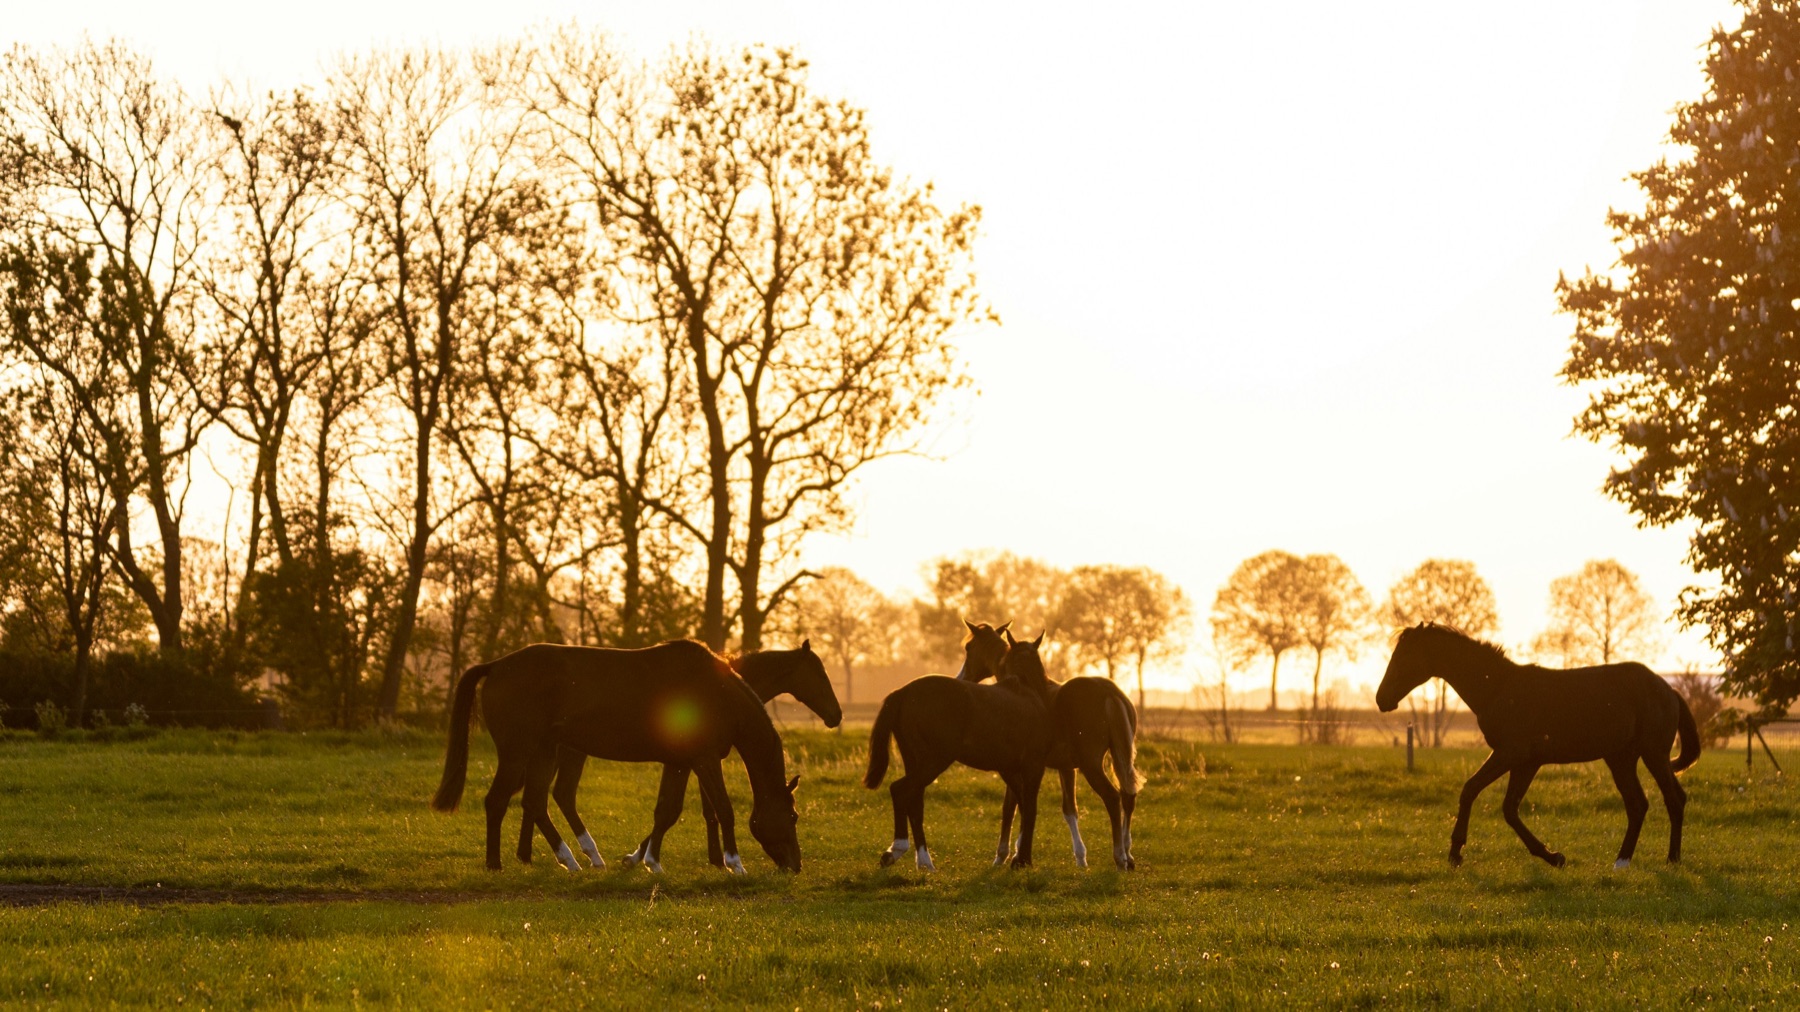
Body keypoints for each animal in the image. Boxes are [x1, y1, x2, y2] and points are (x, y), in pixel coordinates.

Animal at [431, 639, 802, 874]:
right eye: (794, 817)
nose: (796, 865)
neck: (715, 691)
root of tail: (496, 666)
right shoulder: (705, 760)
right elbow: (724, 809)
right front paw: (734, 863)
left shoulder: (680, 763)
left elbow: (666, 812)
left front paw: (651, 862)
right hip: (517, 753)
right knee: (497, 801)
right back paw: (496, 864)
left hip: (544, 751)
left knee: (535, 802)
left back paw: (572, 860)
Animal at [863, 620, 1055, 870]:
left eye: (969, 648)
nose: (963, 675)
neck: (1026, 691)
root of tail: (903, 692)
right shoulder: (1032, 767)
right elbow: (1029, 809)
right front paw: (1022, 859)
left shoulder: (1009, 769)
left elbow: (1017, 808)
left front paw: (1016, 857)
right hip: (934, 761)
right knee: (900, 790)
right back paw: (901, 850)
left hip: (915, 761)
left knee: (914, 801)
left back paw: (922, 860)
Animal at [961, 647, 1142, 871]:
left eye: (970, 650)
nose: (962, 677)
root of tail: (1109, 692)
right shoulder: (1066, 768)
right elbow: (1068, 809)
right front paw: (1080, 858)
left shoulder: (1019, 768)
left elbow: (1012, 807)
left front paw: (1005, 856)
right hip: (1121, 758)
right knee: (1128, 796)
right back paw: (1128, 855)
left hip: (1091, 765)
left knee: (1112, 797)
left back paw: (1119, 857)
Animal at [1375, 623, 1700, 869]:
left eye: (1404, 657)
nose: (1381, 699)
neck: (1497, 687)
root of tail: (1669, 689)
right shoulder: (1526, 762)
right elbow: (1509, 808)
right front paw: (1553, 857)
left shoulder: (1511, 754)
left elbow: (1472, 790)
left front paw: (1456, 852)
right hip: (1621, 759)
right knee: (1638, 804)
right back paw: (1623, 861)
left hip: (1653, 754)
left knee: (1672, 799)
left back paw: (1670, 859)